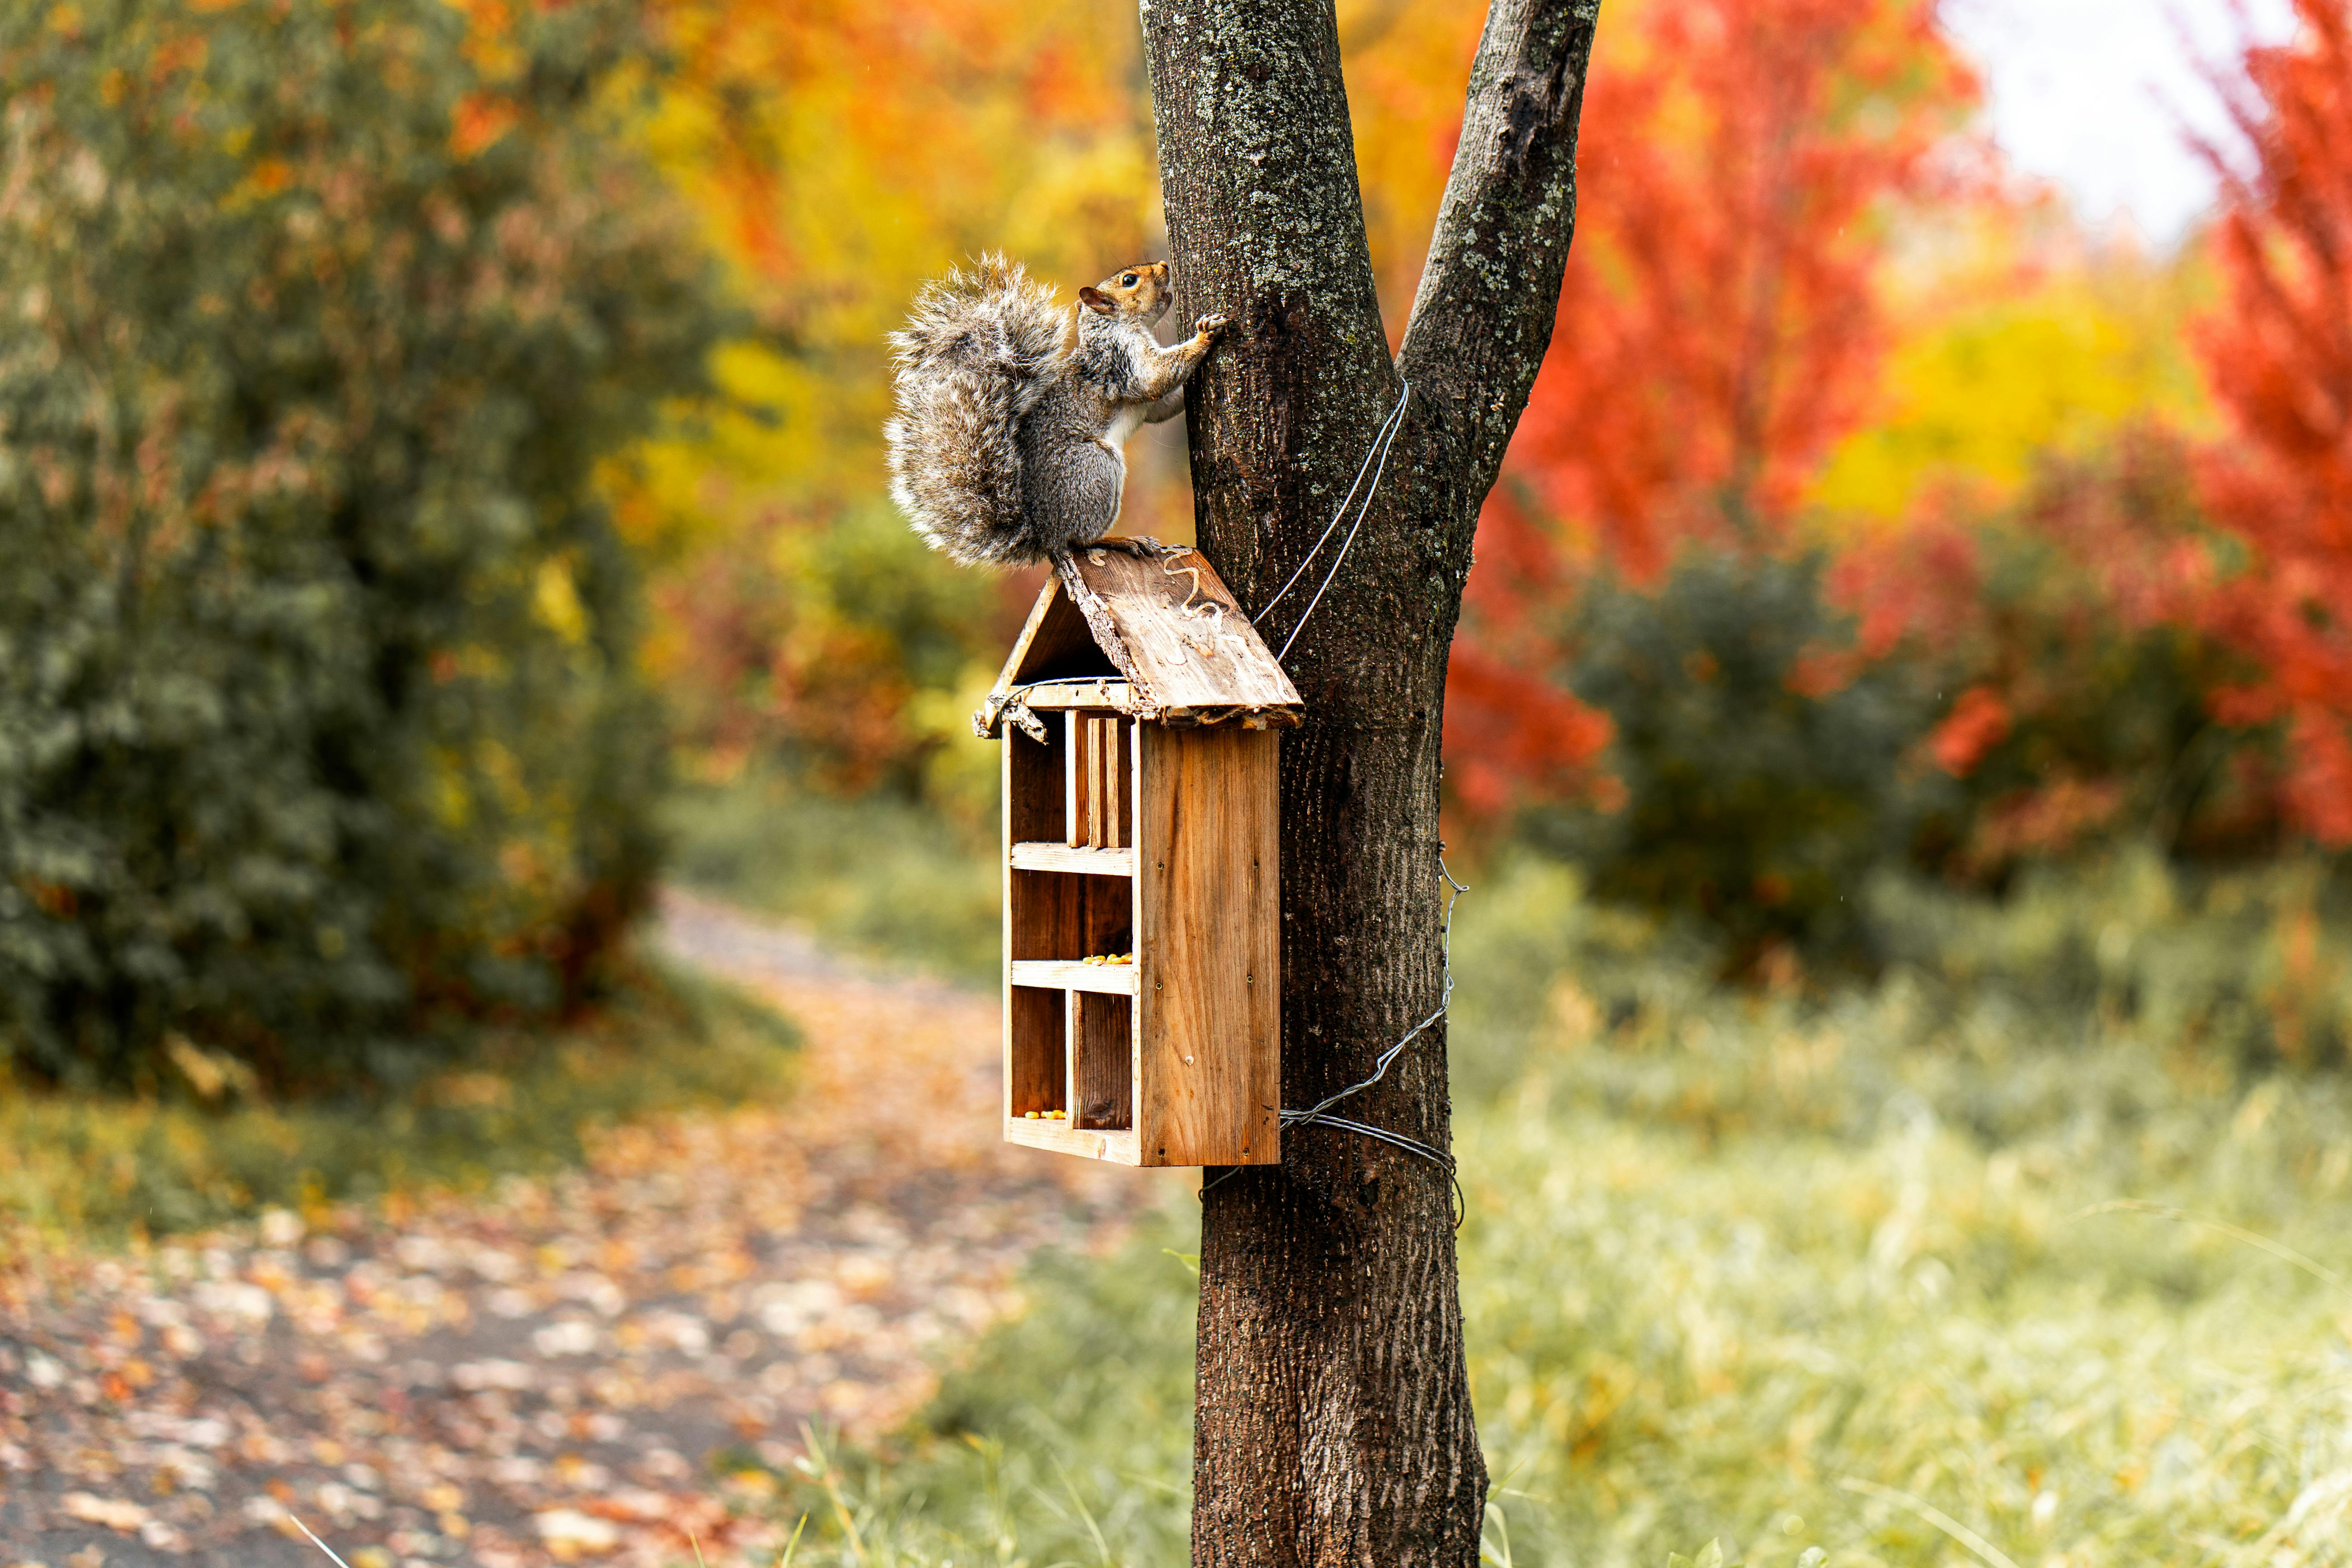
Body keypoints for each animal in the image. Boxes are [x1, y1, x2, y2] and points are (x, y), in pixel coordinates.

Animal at [885, 254, 1228, 567]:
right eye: (1129, 280)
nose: (1164, 265)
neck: (1114, 325)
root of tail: (1043, 534)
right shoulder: (1121, 359)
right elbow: (1155, 377)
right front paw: (1204, 335)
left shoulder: (1147, 400)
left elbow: (1161, 406)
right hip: (1094, 466)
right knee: (1080, 539)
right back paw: (1122, 539)